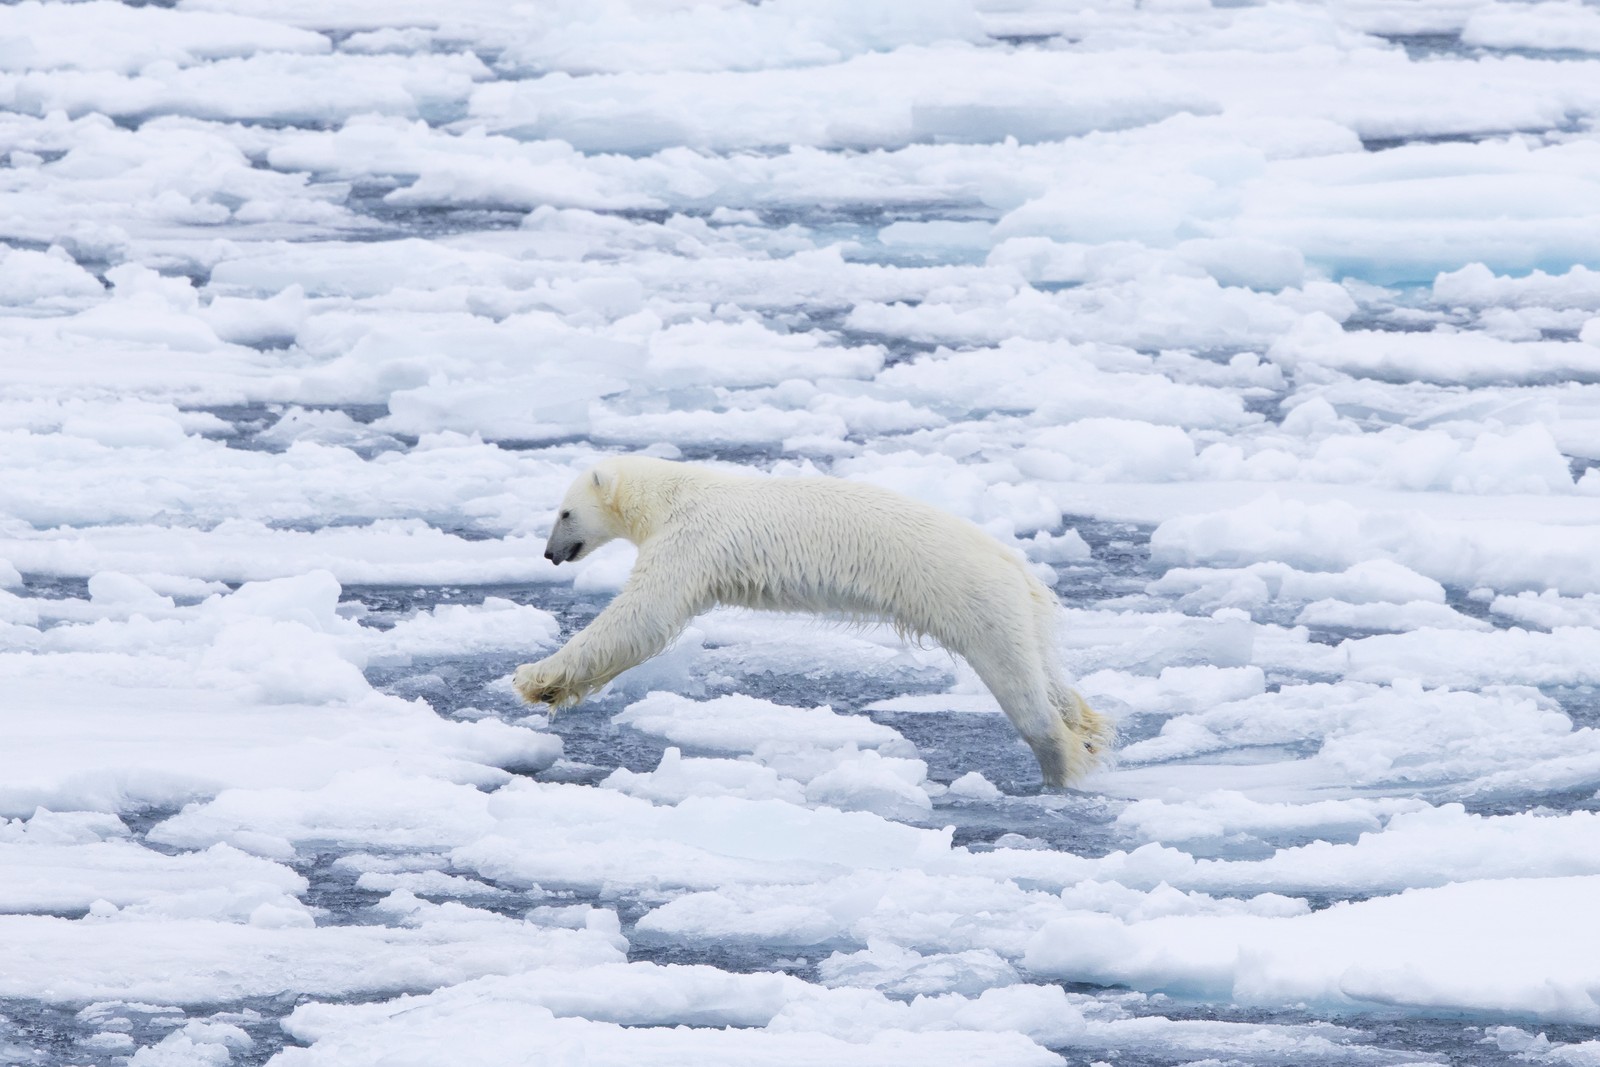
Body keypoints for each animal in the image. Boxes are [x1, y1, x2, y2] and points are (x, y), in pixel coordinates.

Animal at [513, 455, 1112, 787]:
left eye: (564, 513)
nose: (550, 554)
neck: (674, 493)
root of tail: (1017, 567)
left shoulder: (691, 540)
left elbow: (641, 618)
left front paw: (536, 679)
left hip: (972, 600)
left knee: (1019, 686)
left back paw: (1061, 764)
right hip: (1017, 609)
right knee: (1047, 671)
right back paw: (1087, 730)